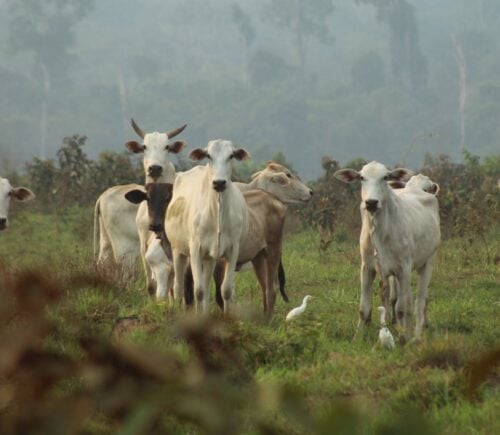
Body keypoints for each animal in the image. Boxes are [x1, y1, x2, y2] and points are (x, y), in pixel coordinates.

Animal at [165, 140, 249, 314]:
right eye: (208, 156)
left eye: (231, 155)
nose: (219, 183)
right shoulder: (195, 249)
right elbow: (198, 291)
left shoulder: (233, 249)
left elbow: (226, 290)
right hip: (177, 250)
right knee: (178, 287)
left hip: (209, 257)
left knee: (207, 285)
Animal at [334, 162, 440, 346]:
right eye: (361, 177)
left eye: (385, 177)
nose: (371, 202)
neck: (380, 231)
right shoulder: (367, 268)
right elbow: (364, 308)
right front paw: (358, 337)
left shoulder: (403, 268)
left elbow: (401, 308)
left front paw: (403, 338)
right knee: (410, 302)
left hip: (428, 262)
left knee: (420, 302)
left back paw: (416, 336)